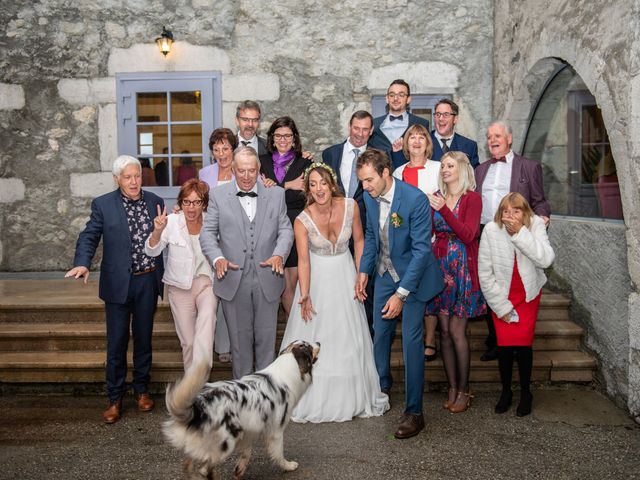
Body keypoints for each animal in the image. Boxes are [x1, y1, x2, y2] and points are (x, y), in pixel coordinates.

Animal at [162, 340, 318, 478]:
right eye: (309, 347)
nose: (319, 343)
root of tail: (198, 406)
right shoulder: (276, 432)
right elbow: (278, 454)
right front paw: (288, 466)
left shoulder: (249, 428)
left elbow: (246, 452)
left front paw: (240, 469)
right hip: (224, 445)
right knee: (204, 469)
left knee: (189, 465)